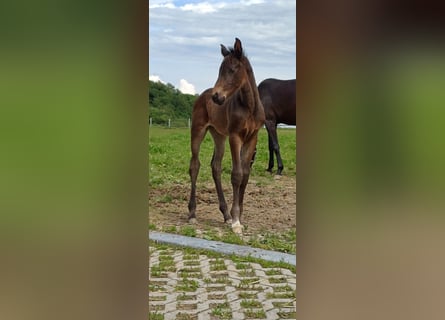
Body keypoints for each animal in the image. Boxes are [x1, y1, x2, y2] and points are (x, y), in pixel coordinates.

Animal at [186, 37, 264, 234]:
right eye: (219, 70)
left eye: (233, 69)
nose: (217, 97)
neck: (249, 107)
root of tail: (202, 95)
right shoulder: (235, 136)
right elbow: (236, 174)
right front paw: (236, 221)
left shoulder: (252, 138)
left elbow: (245, 175)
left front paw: (238, 217)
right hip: (198, 130)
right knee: (194, 165)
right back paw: (192, 214)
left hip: (219, 135)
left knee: (216, 166)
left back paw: (225, 214)